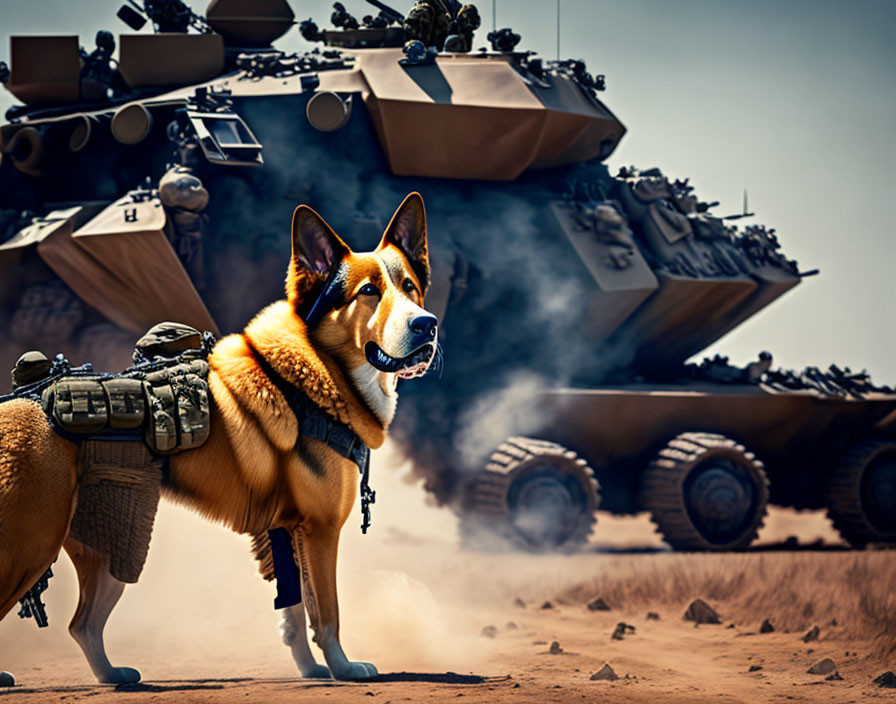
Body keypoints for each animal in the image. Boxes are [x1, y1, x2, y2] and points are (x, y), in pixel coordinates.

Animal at [0, 191, 438, 680]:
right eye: (368, 292)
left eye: (410, 287)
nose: (427, 325)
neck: (318, 370)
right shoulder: (320, 531)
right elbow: (326, 612)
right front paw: (342, 668)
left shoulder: (283, 531)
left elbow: (293, 612)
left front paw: (310, 671)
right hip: (34, 544)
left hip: (110, 537)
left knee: (83, 624)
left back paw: (114, 677)